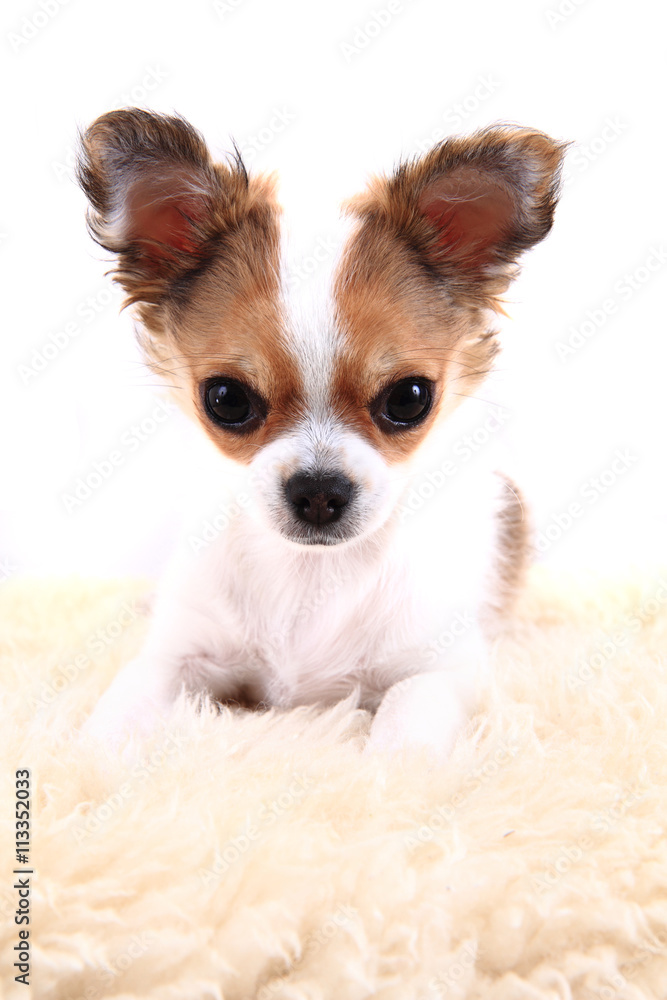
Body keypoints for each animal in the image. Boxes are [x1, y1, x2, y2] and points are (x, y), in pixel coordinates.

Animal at [77, 109, 566, 756]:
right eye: (226, 400)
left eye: (409, 399)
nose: (318, 491)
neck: (309, 574)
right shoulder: (175, 658)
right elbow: (116, 716)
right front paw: (91, 758)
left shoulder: (441, 669)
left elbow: (405, 732)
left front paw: (392, 768)